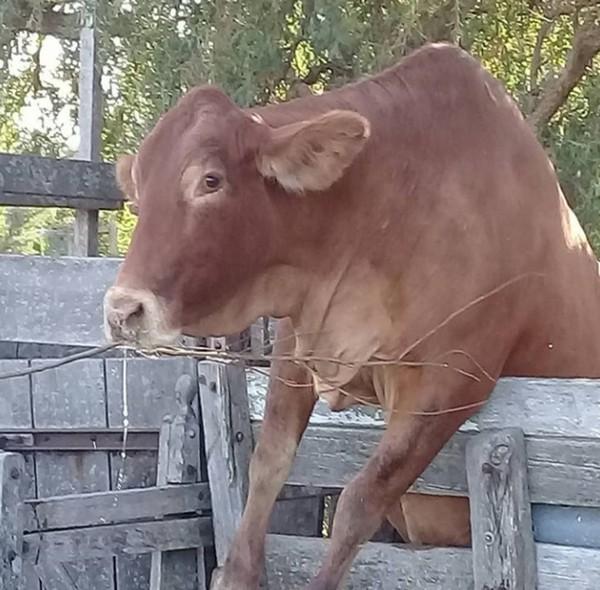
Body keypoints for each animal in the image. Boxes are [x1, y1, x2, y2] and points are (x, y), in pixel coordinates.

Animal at [105, 42, 600, 590]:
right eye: (137, 193)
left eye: (210, 181)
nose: (122, 310)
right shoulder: (296, 345)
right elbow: (268, 463)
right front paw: (236, 572)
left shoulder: (450, 380)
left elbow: (360, 500)